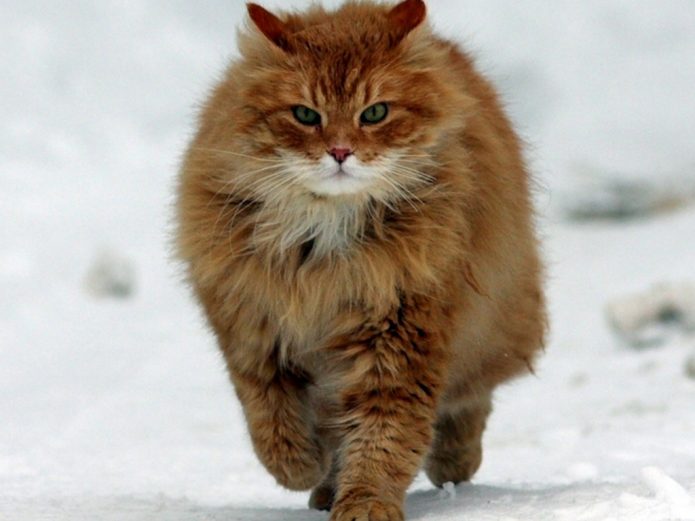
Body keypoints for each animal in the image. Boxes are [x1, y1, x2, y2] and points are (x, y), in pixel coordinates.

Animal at [177, 1, 548, 520]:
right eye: (305, 114)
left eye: (374, 113)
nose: (339, 151)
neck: (321, 241)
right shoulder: (254, 333)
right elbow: (272, 424)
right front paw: (304, 468)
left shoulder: (399, 336)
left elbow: (383, 437)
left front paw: (366, 502)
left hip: (494, 323)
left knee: (470, 400)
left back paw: (454, 463)